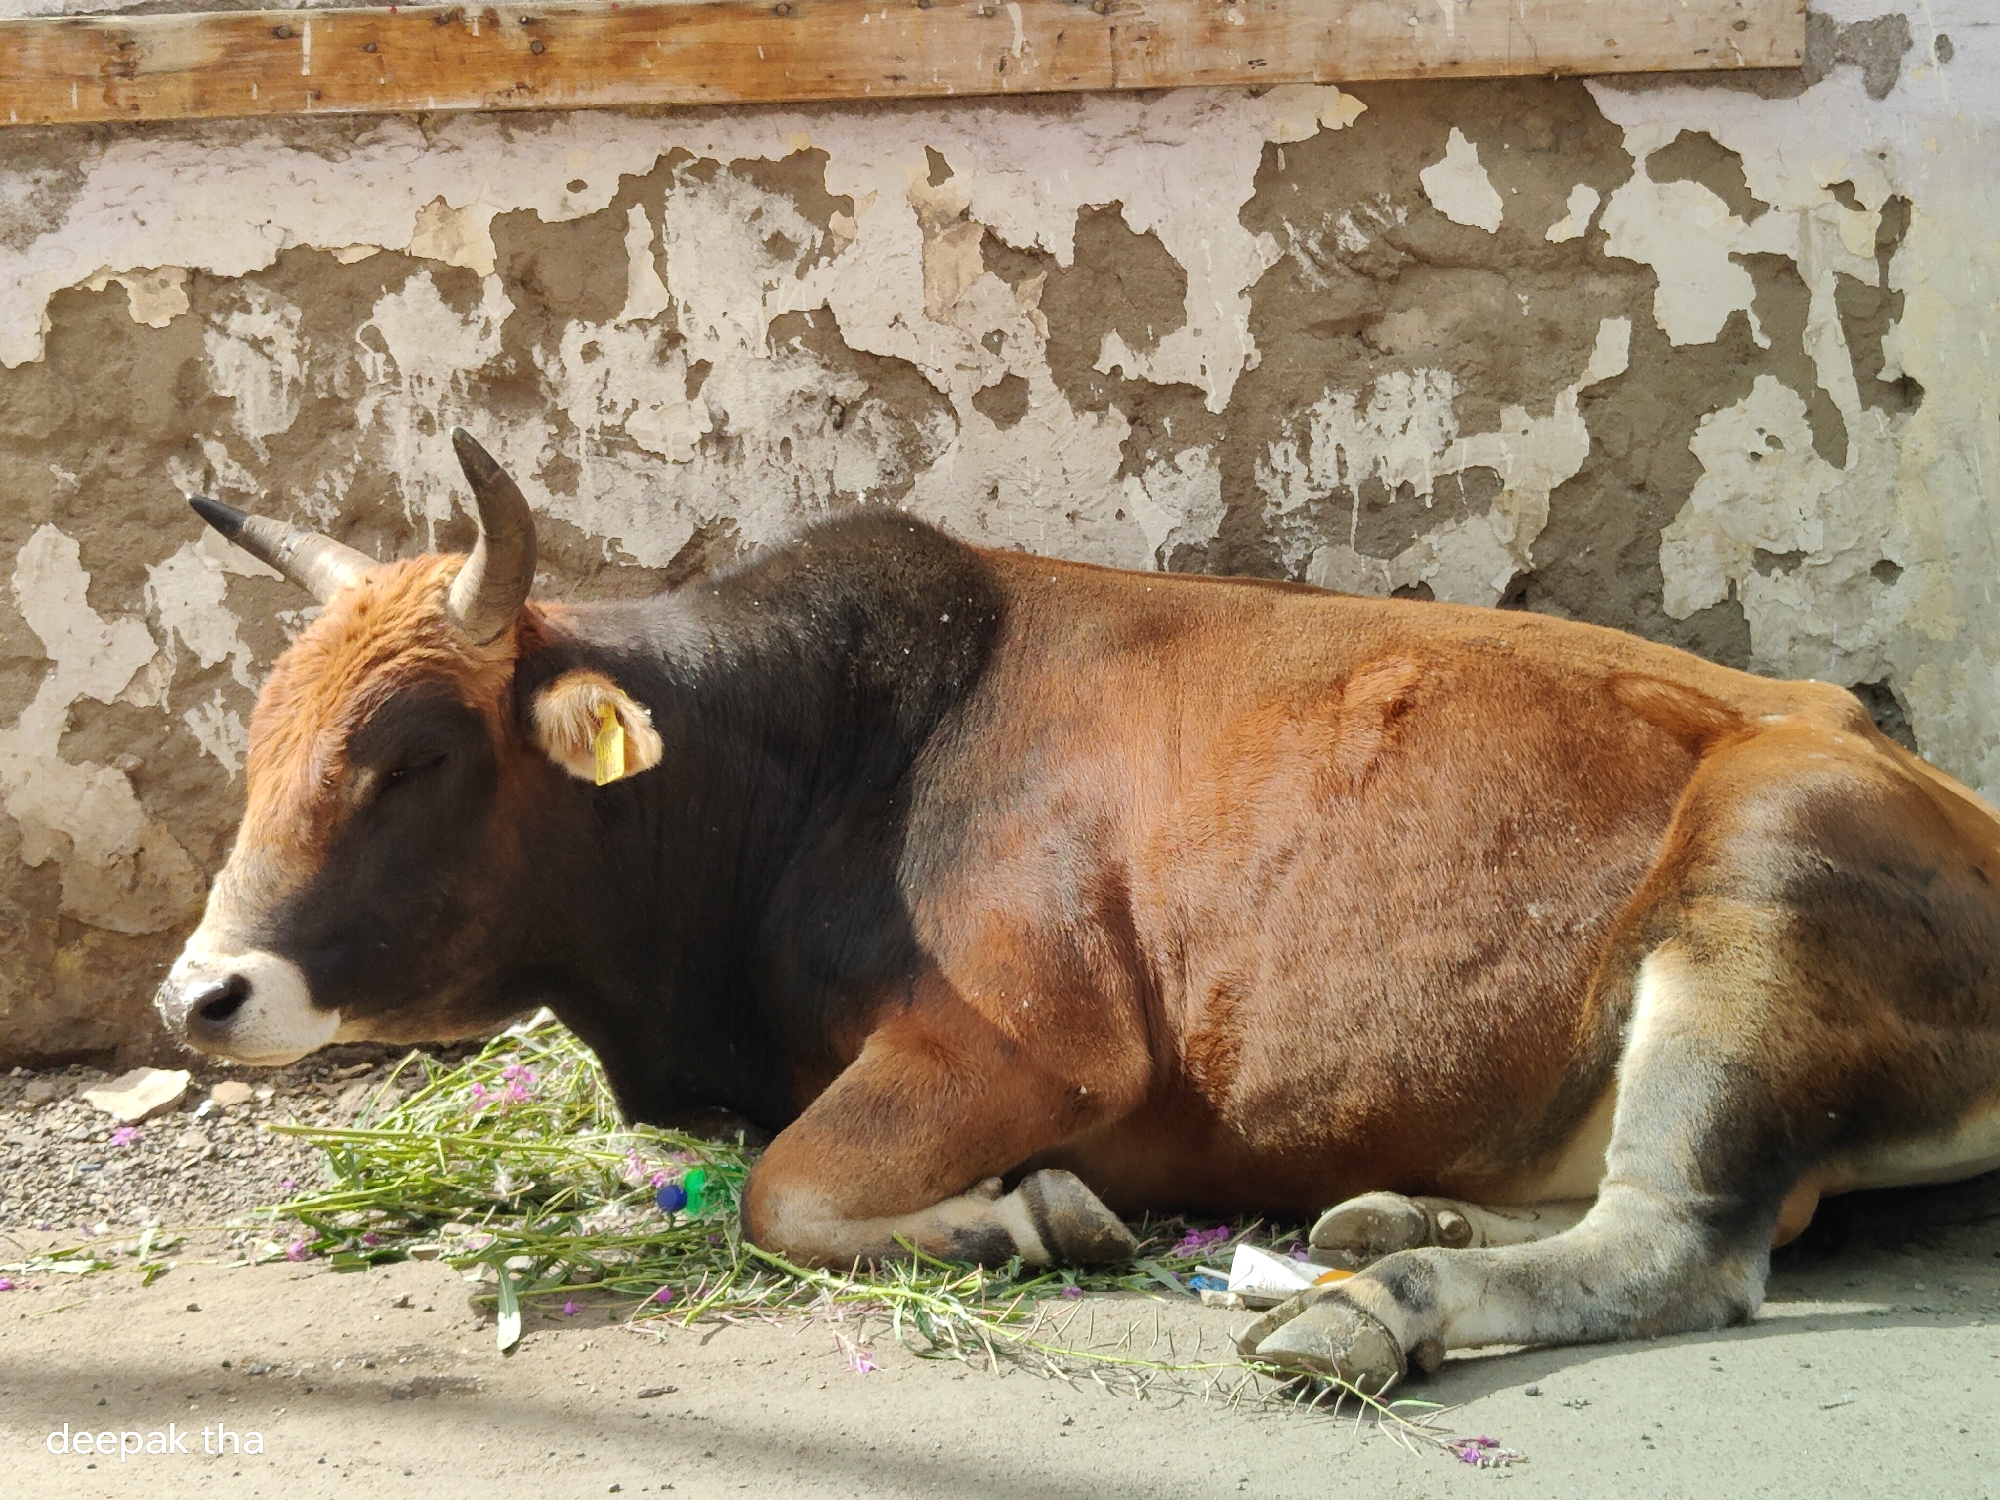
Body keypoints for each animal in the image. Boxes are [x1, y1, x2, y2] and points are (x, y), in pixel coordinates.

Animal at [156, 429, 2000, 1392]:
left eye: (410, 757)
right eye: (260, 738)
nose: (200, 998)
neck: (815, 755)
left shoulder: (1039, 1049)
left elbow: (782, 1192)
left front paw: (1022, 1218)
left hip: (1762, 867)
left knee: (1679, 1242)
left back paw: (1376, 1308)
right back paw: (1389, 1224)